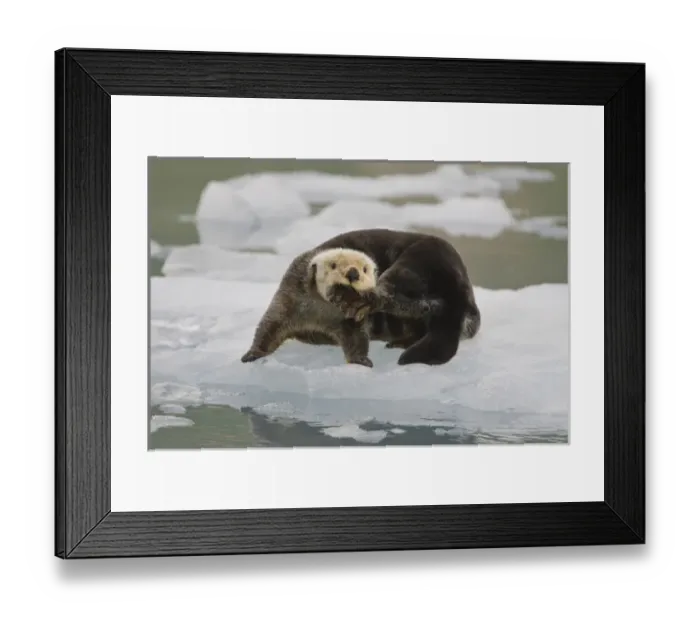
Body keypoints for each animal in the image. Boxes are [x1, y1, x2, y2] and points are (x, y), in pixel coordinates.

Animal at [240, 247, 382, 367]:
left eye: (365, 269)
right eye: (333, 265)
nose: (353, 273)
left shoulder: (352, 317)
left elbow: (356, 335)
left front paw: (361, 360)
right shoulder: (291, 295)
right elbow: (272, 323)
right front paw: (253, 354)